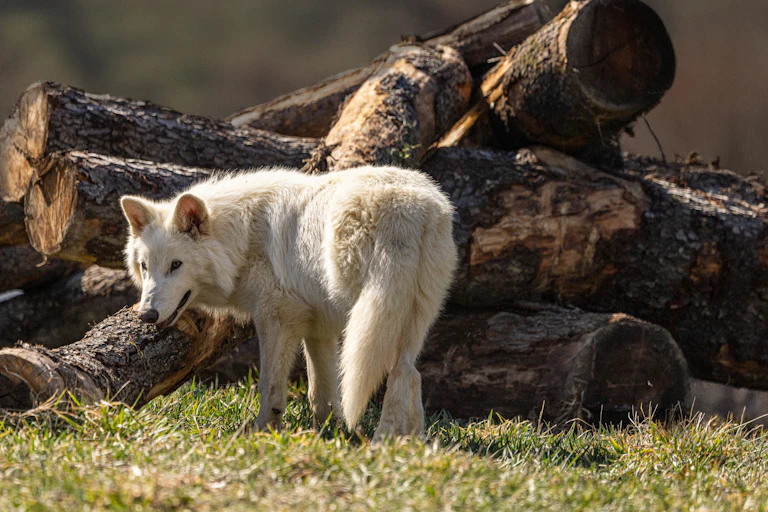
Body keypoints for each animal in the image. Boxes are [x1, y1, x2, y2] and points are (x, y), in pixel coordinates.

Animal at [120, 166, 457, 440]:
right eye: (145, 266)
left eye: (176, 265)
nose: (147, 315)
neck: (242, 238)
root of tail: (407, 209)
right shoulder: (319, 329)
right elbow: (321, 392)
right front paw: (328, 433)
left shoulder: (278, 319)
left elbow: (270, 386)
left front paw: (262, 432)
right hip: (407, 320)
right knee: (408, 372)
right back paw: (408, 442)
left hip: (366, 318)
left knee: (397, 373)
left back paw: (382, 442)